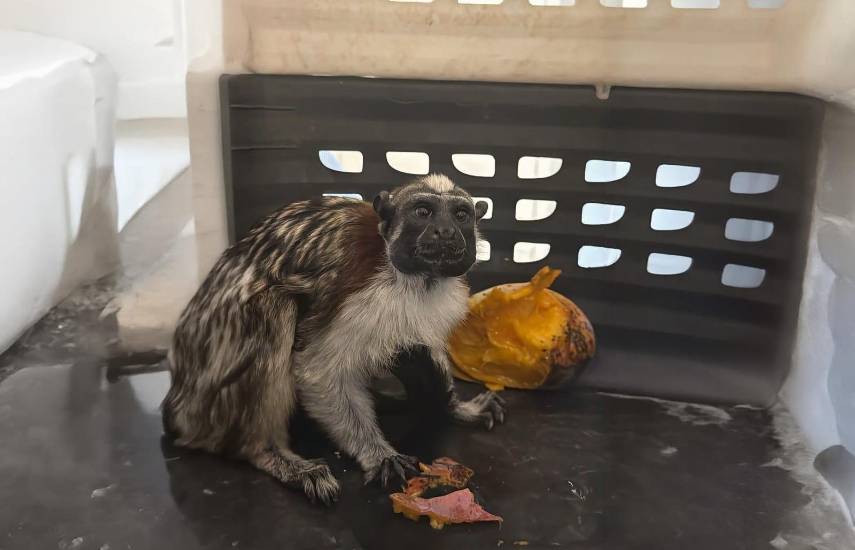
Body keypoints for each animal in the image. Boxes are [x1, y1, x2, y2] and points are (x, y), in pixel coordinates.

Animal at [161, 173, 506, 505]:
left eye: (461, 215)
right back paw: (267, 453)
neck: (417, 280)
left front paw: (456, 407)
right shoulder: (360, 298)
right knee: (275, 307)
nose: (445, 231)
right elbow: (319, 372)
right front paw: (379, 455)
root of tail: (176, 403)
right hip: (209, 407)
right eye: (423, 212)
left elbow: (424, 348)